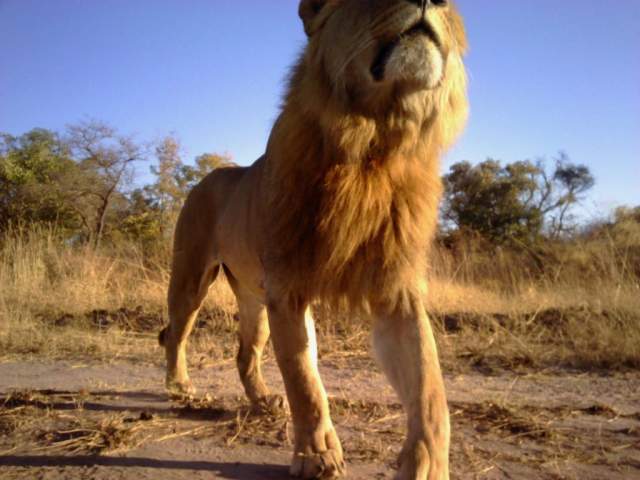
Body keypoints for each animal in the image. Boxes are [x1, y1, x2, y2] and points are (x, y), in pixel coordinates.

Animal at [158, 1, 468, 478]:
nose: (432, 1)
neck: (373, 139)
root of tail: (208, 175)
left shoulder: (396, 291)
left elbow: (430, 390)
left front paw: (428, 465)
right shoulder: (289, 285)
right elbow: (304, 379)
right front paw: (318, 455)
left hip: (254, 298)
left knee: (245, 353)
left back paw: (263, 401)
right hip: (192, 278)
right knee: (176, 333)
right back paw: (180, 387)